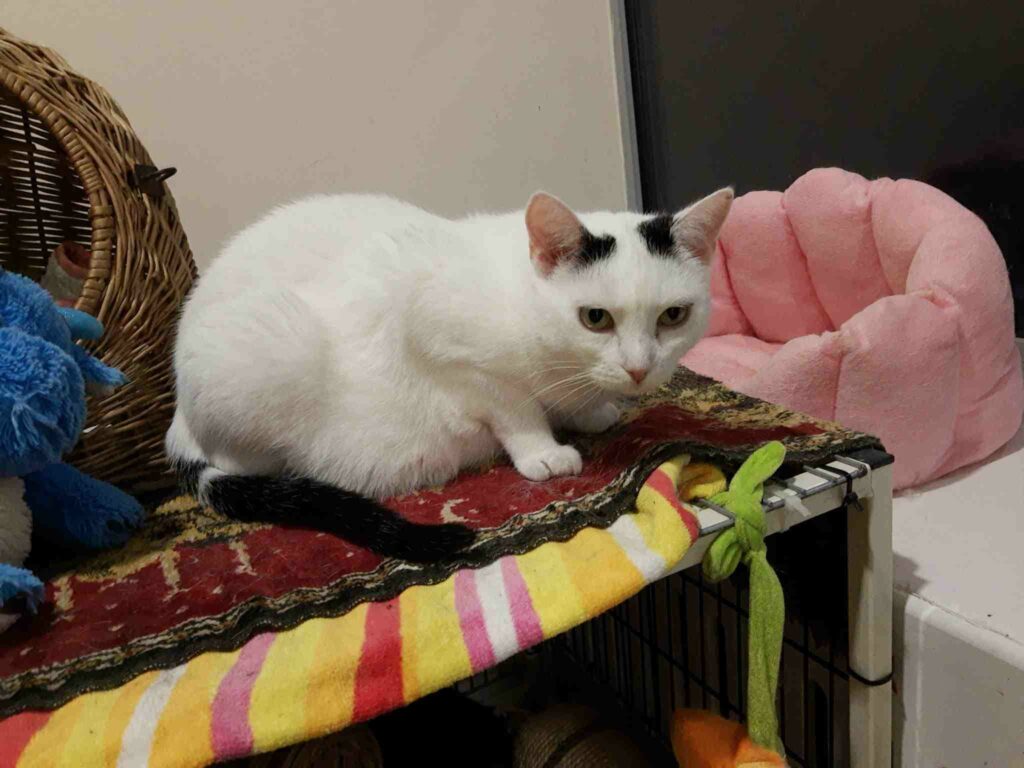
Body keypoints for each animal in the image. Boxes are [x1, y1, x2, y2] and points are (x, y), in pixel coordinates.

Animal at [167, 188, 733, 562]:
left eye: (673, 316)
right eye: (595, 318)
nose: (639, 368)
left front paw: (592, 412)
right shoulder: (438, 337)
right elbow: (514, 405)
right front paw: (543, 450)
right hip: (271, 349)